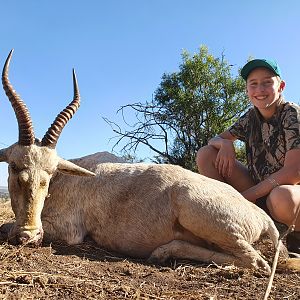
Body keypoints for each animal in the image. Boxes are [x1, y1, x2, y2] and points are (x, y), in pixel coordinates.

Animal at [0, 51, 296, 274]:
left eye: (49, 174)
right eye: (14, 167)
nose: (28, 235)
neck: (68, 177)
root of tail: (260, 216)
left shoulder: (69, 230)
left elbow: (4, 226)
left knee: (257, 262)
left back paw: (162, 253)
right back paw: (162, 253)